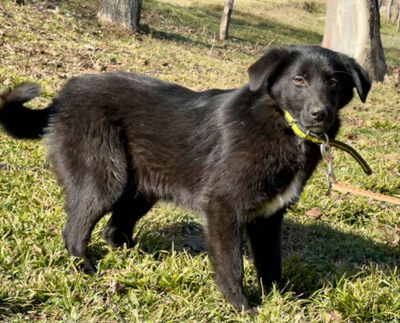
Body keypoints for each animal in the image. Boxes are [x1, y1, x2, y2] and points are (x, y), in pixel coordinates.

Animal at [0, 45, 370, 312]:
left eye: (334, 82)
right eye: (299, 80)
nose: (320, 114)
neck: (284, 124)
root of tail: (62, 98)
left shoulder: (268, 217)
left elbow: (271, 264)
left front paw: (282, 302)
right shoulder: (223, 207)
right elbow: (232, 266)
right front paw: (243, 307)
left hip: (142, 189)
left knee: (114, 230)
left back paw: (135, 261)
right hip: (105, 178)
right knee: (75, 232)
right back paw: (91, 272)